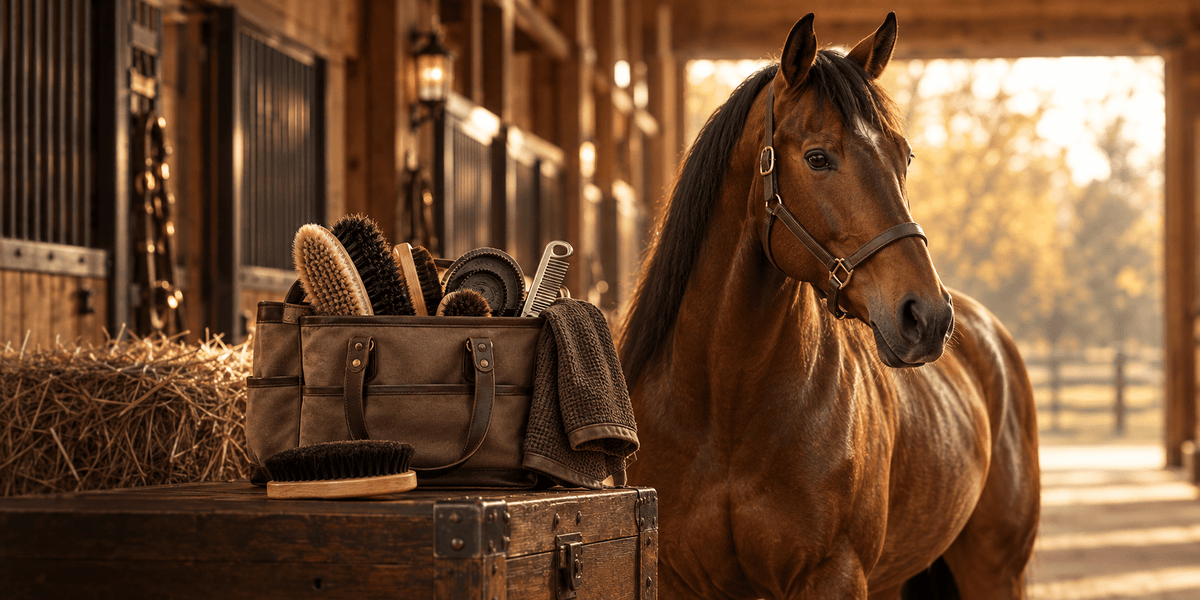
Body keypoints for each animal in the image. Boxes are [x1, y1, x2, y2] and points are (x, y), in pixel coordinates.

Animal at [618, 13, 1040, 600]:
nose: (928, 317)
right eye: (818, 158)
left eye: (904, 155)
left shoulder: (832, 575)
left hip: (995, 571)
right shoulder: (680, 580)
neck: (723, 410)